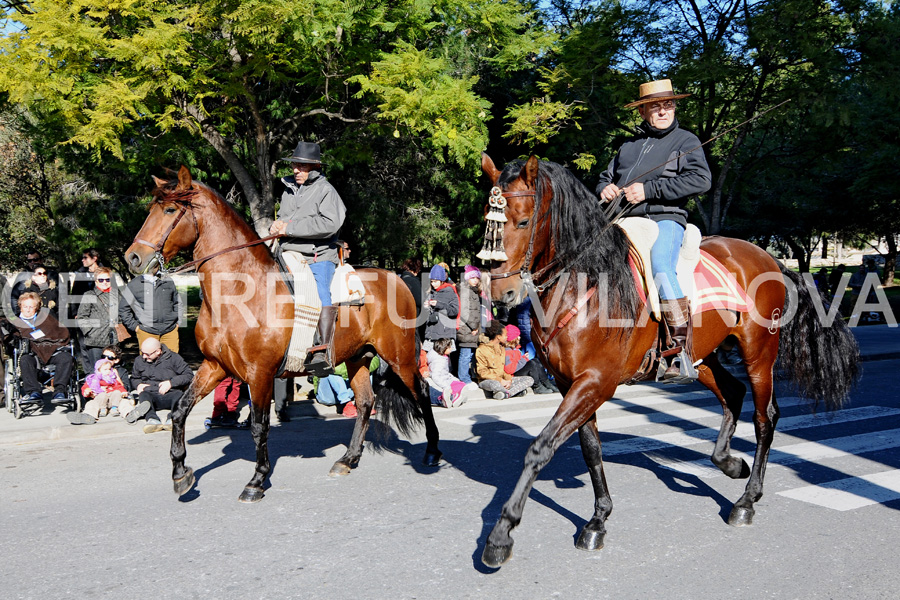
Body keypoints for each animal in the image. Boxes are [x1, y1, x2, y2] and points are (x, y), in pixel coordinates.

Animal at [123, 164, 440, 502]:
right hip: (357, 357)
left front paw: (256, 481)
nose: (133, 258)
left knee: (421, 391)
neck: (238, 292)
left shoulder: (259, 374)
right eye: (151, 209)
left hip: (399, 356)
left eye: (170, 210)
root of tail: (397, 279)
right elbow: (180, 410)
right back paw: (348, 459)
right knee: (366, 401)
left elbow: (259, 426)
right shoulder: (215, 366)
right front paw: (181, 473)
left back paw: (432, 451)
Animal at [478, 155, 856, 568]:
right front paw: (598, 519)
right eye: (488, 221)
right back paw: (728, 462)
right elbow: (591, 449)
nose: (500, 292)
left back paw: (746, 500)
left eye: (523, 222)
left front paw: (501, 534)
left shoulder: (596, 382)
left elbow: (541, 447)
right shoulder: (571, 384)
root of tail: (768, 256)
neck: (585, 282)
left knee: (764, 419)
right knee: (733, 392)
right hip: (701, 357)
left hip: (759, 354)